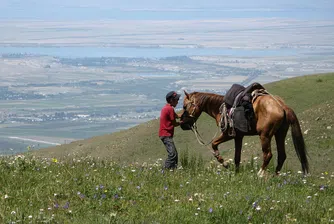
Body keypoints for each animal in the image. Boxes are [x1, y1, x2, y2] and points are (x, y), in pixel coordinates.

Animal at [180, 87, 308, 177]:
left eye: (185, 106)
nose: (182, 124)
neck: (220, 109)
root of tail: (282, 106)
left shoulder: (227, 134)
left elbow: (214, 144)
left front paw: (225, 163)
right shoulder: (238, 136)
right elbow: (237, 157)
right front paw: (236, 173)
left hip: (265, 135)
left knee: (268, 154)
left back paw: (260, 174)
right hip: (280, 134)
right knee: (281, 155)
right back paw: (274, 176)